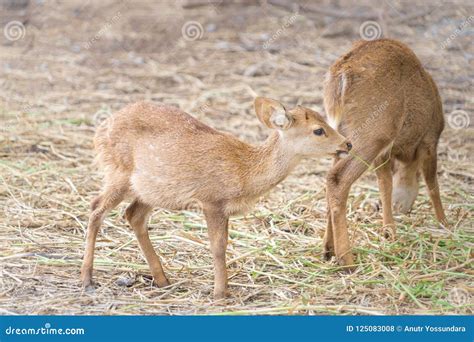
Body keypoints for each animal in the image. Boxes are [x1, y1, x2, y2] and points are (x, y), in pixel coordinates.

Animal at [79, 97, 350, 298]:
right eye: (318, 130)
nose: (347, 144)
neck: (244, 172)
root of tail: (100, 130)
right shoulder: (211, 200)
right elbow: (218, 247)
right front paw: (221, 293)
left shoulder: (223, 208)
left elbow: (223, 245)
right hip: (118, 173)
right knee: (95, 208)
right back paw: (87, 279)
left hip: (149, 189)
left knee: (133, 215)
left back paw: (163, 279)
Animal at [322, 37, 448, 268]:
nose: (402, 208)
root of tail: (341, 74)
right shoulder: (430, 139)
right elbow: (432, 183)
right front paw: (444, 222)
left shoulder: (385, 154)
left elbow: (385, 184)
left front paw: (389, 231)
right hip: (374, 131)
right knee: (337, 178)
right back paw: (347, 259)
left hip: (343, 136)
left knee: (330, 178)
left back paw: (327, 249)